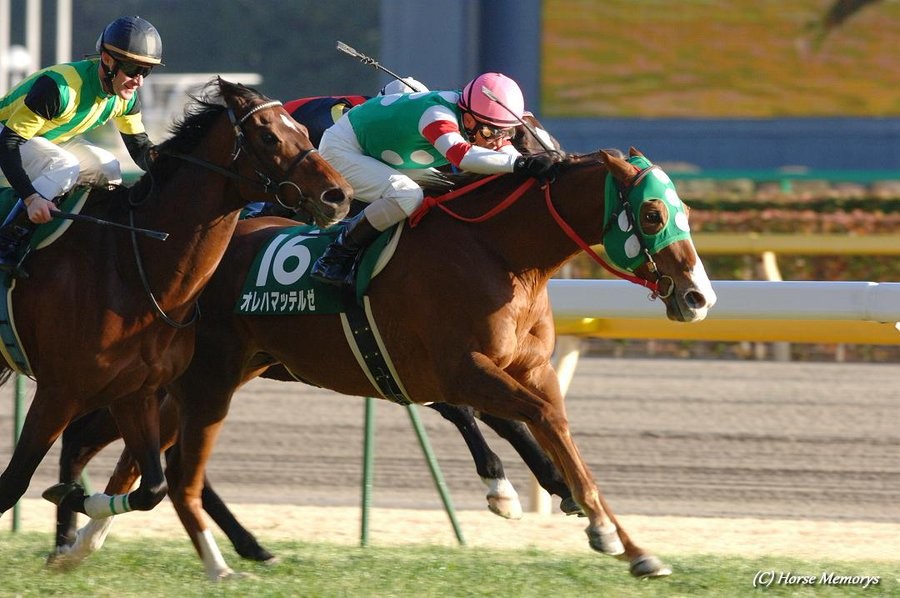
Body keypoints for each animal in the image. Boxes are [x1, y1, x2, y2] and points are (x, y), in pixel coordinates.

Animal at [0, 77, 352, 527]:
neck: (130, 265)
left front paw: (70, 494)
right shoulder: (58, 393)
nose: (339, 196)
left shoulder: (136, 391)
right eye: (269, 137)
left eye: (305, 132)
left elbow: (152, 488)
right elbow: (11, 484)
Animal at [52, 147, 716, 580]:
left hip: (221, 375)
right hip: (202, 379)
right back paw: (82, 531)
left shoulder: (529, 370)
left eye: (683, 211)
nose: (698, 297)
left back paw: (87, 538)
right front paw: (590, 523)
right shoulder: (461, 370)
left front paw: (628, 543)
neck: (499, 252)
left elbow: (559, 432)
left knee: (142, 459)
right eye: (653, 215)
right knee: (126, 451)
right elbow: (540, 421)